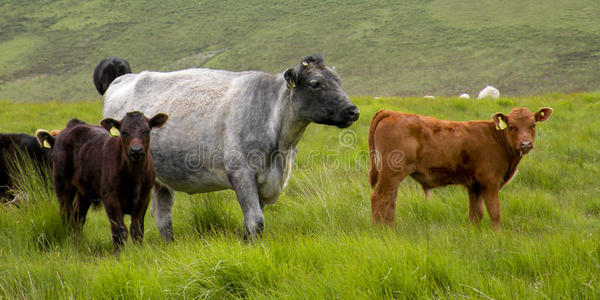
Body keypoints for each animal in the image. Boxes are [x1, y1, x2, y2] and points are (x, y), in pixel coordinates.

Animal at [50, 112, 168, 248]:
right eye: (124, 132)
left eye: (146, 131)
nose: (136, 150)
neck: (134, 176)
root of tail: (73, 125)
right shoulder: (110, 197)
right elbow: (119, 230)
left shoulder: (145, 196)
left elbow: (137, 229)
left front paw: (138, 249)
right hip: (62, 185)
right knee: (66, 215)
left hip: (84, 191)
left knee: (78, 217)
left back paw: (78, 243)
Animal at [370, 106, 552, 229]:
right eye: (512, 127)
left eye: (533, 125)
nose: (525, 143)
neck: (496, 138)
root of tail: (392, 113)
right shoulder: (490, 182)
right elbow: (494, 212)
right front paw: (498, 236)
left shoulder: (474, 186)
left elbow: (475, 214)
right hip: (391, 174)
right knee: (380, 198)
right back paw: (380, 230)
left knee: (390, 200)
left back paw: (390, 228)